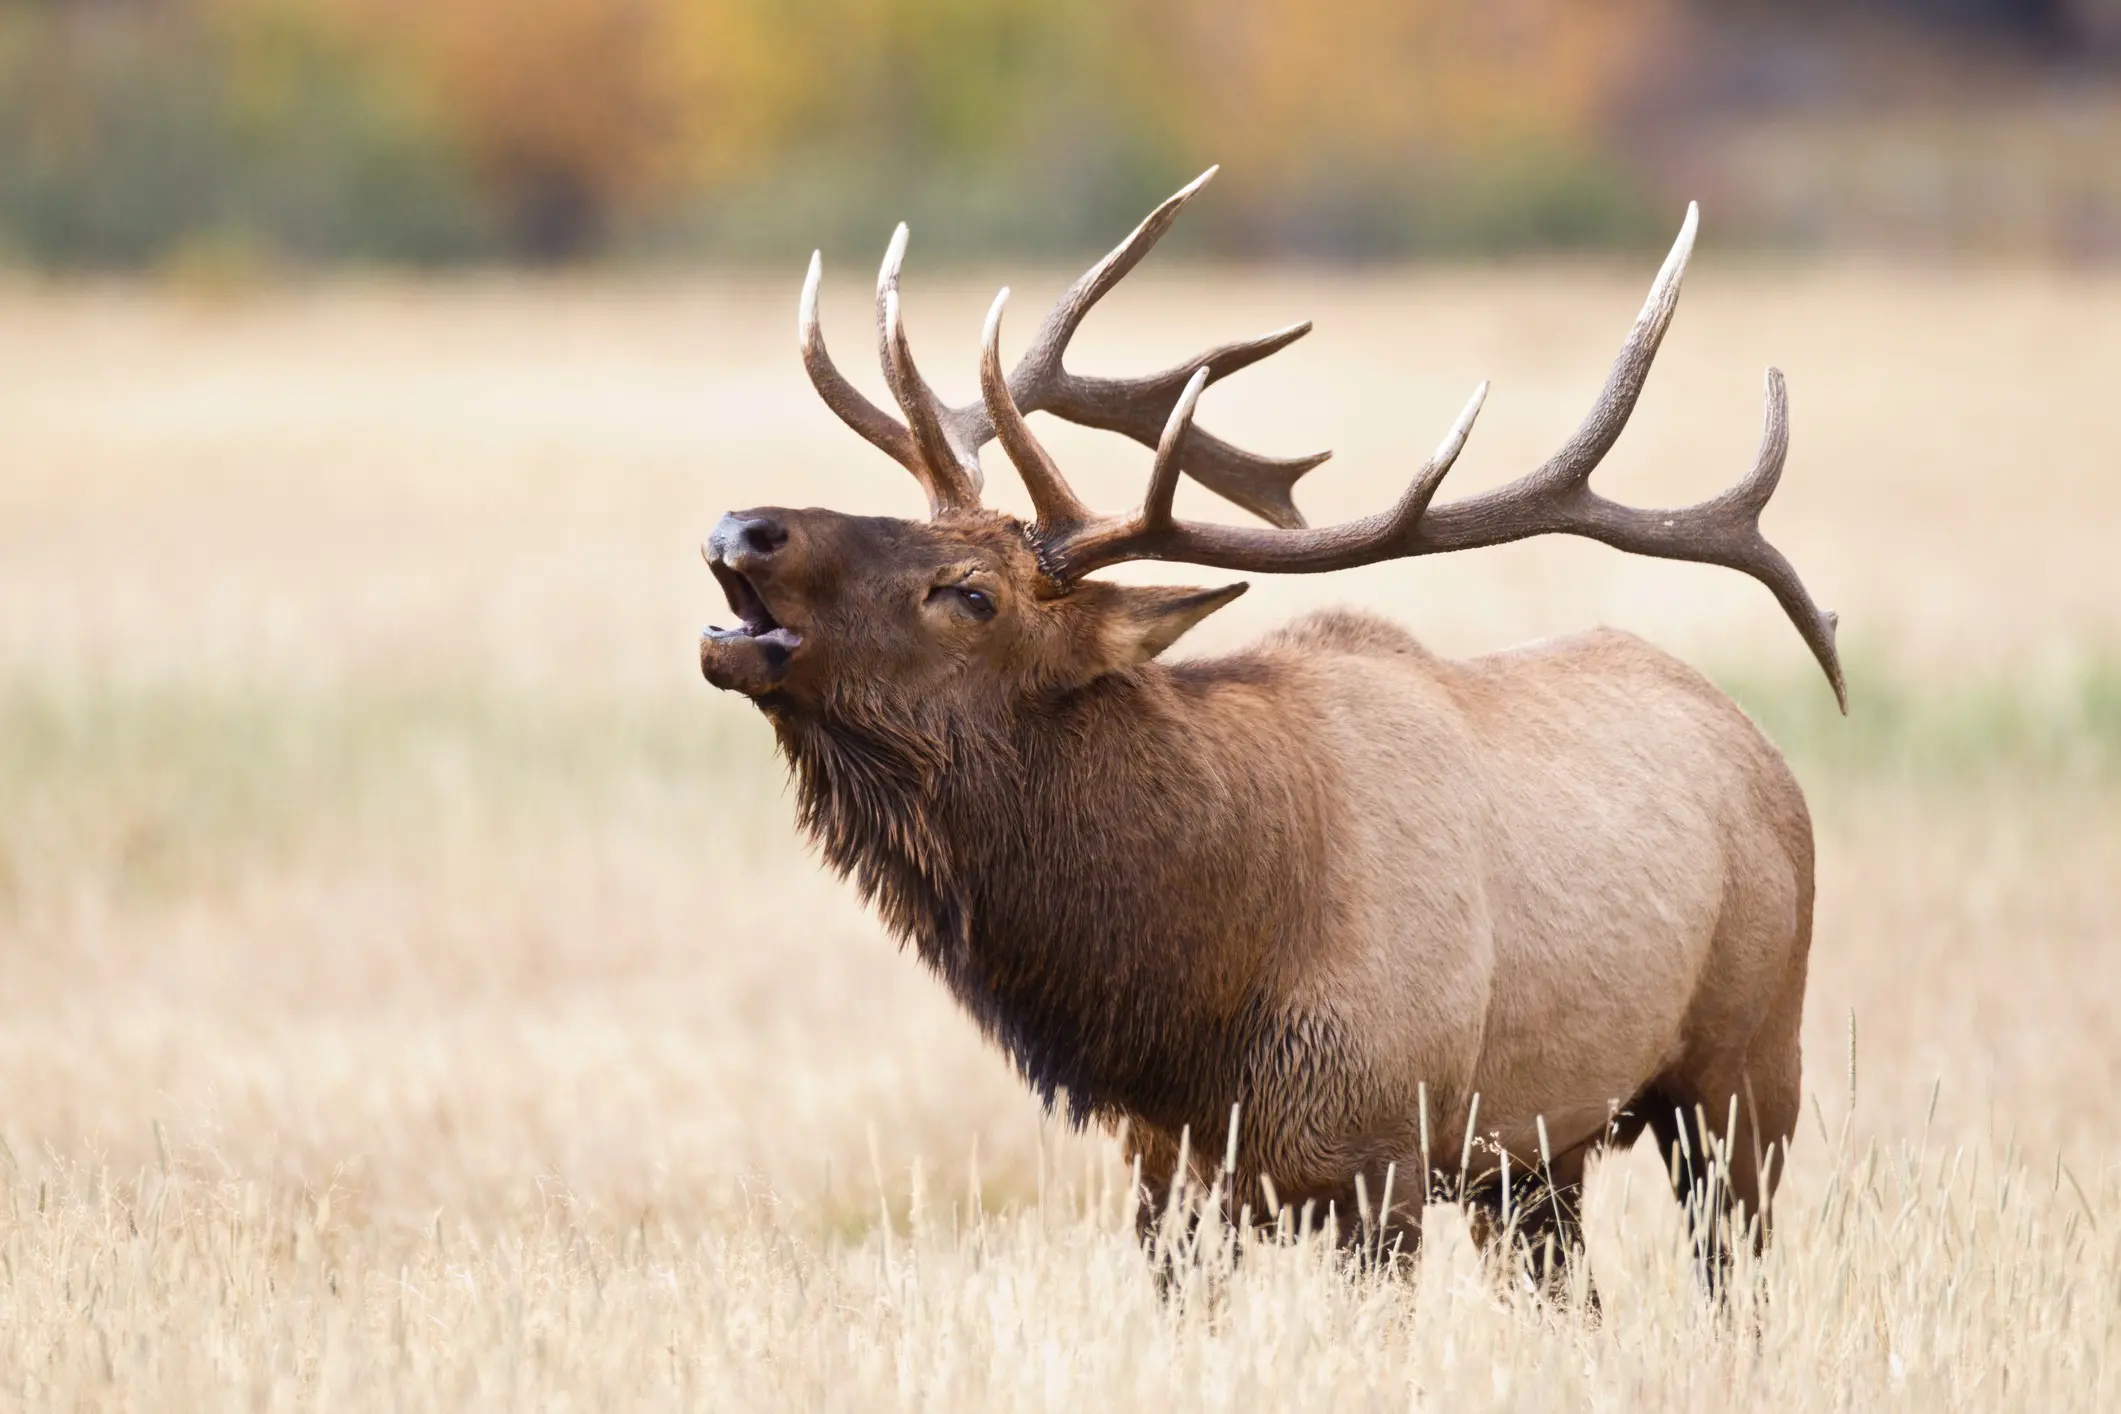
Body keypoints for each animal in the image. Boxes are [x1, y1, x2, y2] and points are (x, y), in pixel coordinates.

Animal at [697, 169, 1844, 1293]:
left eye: (971, 593)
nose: (744, 528)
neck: (1195, 1000)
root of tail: (1764, 755)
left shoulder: (1380, 1159)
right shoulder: (1165, 1176)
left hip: (1747, 1070)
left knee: (1736, 1273)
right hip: (1534, 1156)